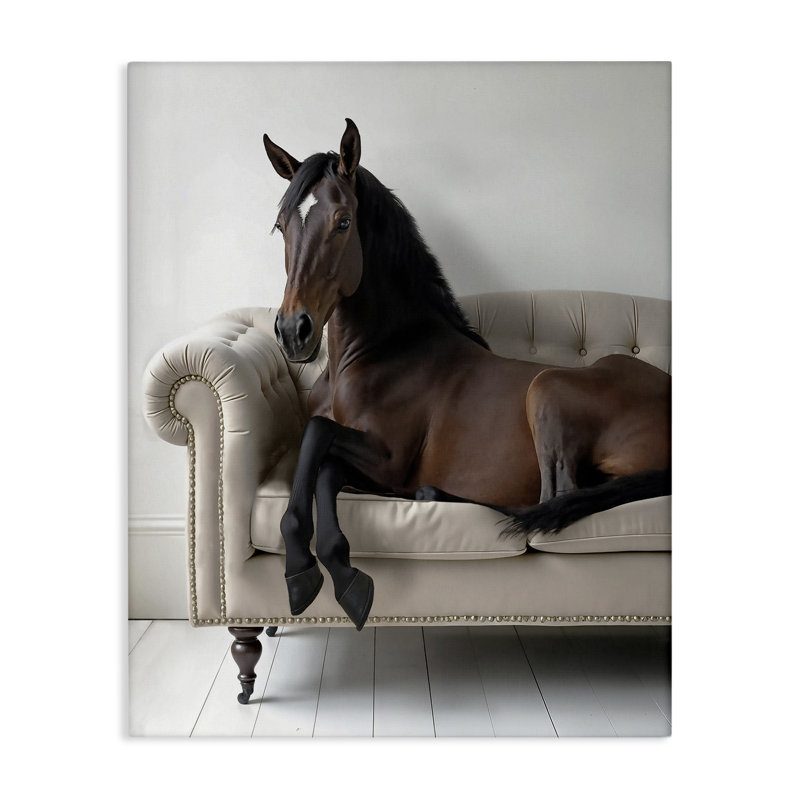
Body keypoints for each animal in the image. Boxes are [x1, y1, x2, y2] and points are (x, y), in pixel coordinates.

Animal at [262, 119, 671, 630]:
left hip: (546, 388)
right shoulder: (370, 465)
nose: (293, 331)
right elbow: (320, 459)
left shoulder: (388, 459)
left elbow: (317, 439)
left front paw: (320, 570)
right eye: (281, 226)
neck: (380, 352)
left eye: (343, 221)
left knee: (551, 500)